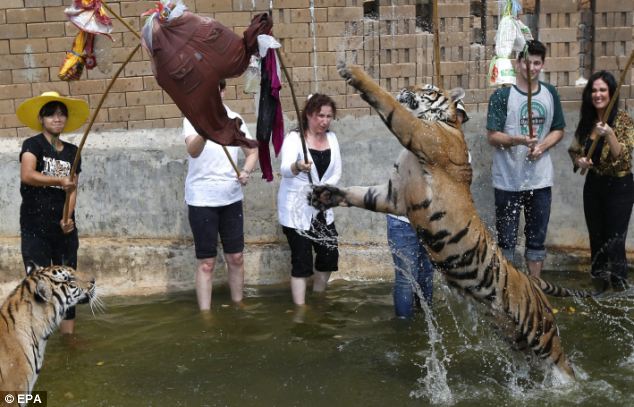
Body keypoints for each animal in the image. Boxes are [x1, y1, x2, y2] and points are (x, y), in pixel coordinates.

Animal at [310, 62, 588, 380]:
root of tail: (532, 282)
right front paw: (323, 195)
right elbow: (358, 193)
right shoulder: (392, 195)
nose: (407, 87)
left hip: (542, 335)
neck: (445, 123)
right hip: (513, 336)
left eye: (429, 88)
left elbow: (386, 101)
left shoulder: (417, 134)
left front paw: (354, 72)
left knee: (563, 363)